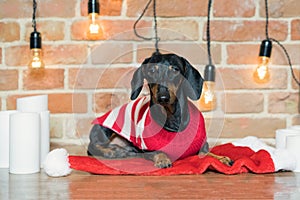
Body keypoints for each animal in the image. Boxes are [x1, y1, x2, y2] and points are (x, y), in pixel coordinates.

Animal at [86, 52, 232, 168]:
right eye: (151, 71)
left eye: (175, 69)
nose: (163, 97)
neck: (172, 120)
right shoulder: (147, 149)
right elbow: (158, 151)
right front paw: (163, 160)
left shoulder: (202, 146)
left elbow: (207, 153)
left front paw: (221, 158)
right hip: (104, 129)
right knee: (92, 146)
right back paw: (113, 151)